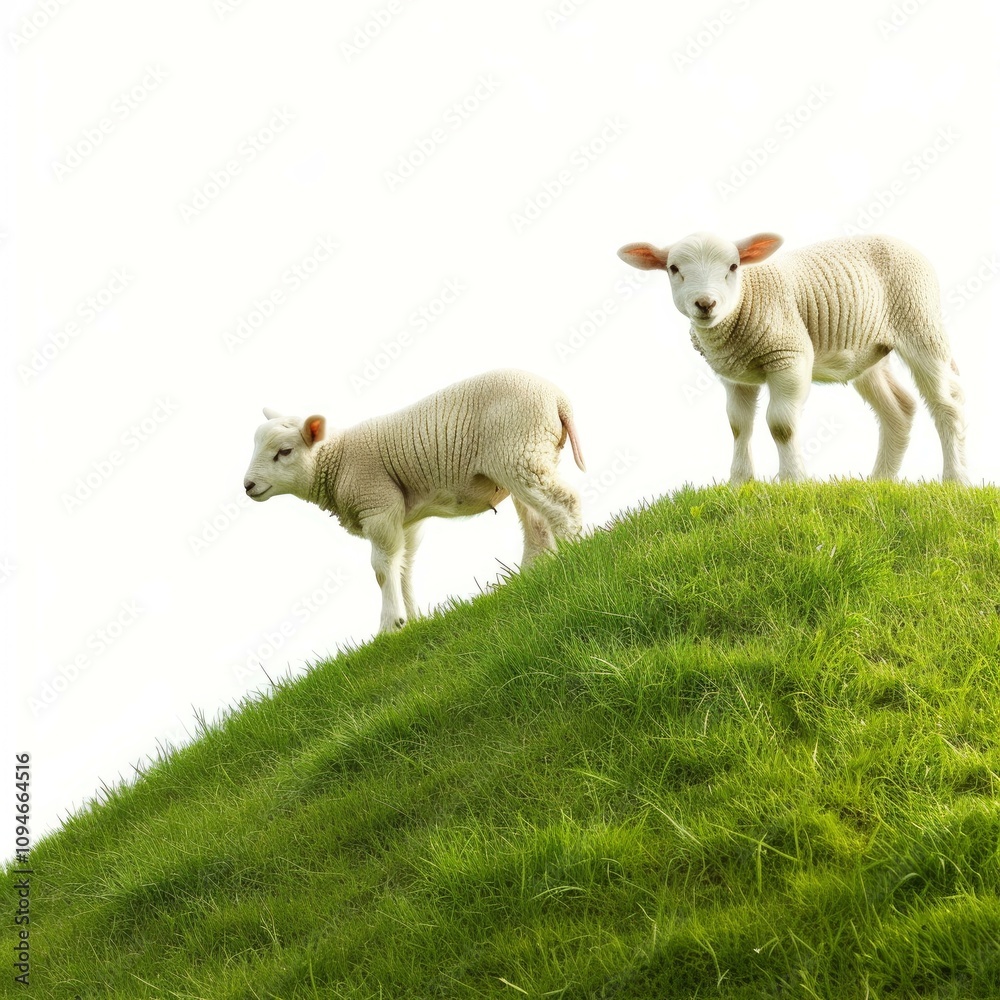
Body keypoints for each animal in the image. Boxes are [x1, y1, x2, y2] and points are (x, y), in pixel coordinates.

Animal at [243, 369, 586, 634]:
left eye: (284, 451)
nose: (248, 485)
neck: (335, 460)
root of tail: (559, 400)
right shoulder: (406, 519)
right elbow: (403, 567)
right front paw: (412, 619)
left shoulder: (378, 505)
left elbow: (381, 569)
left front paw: (389, 626)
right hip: (529, 456)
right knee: (537, 523)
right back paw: (533, 572)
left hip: (519, 451)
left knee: (563, 503)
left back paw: (575, 551)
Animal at [617, 232, 968, 485]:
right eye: (674, 269)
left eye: (733, 267)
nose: (705, 303)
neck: (746, 300)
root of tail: (905, 244)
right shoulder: (734, 376)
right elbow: (738, 426)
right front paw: (739, 483)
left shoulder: (790, 357)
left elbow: (781, 425)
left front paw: (793, 481)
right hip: (870, 352)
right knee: (898, 410)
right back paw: (879, 482)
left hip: (920, 322)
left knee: (947, 403)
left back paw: (955, 480)